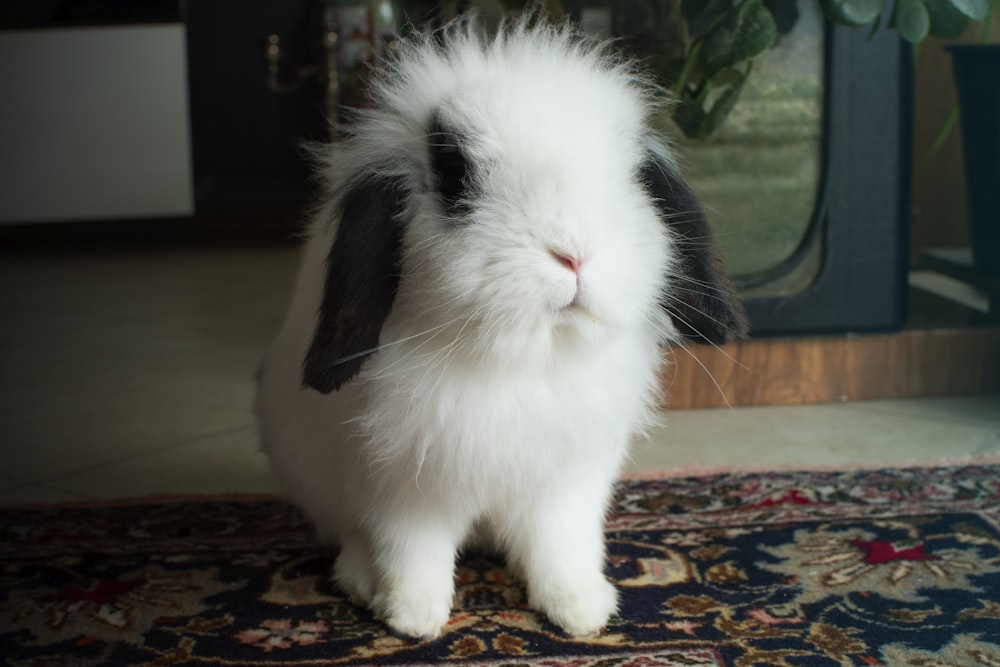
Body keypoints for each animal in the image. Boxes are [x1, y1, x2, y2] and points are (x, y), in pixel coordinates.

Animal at [254, 13, 748, 640]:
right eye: (455, 178)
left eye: (632, 177)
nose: (573, 252)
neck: (526, 361)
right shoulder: (403, 487)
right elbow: (413, 551)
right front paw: (413, 618)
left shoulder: (568, 484)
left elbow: (562, 548)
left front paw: (582, 610)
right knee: (352, 536)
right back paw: (363, 582)